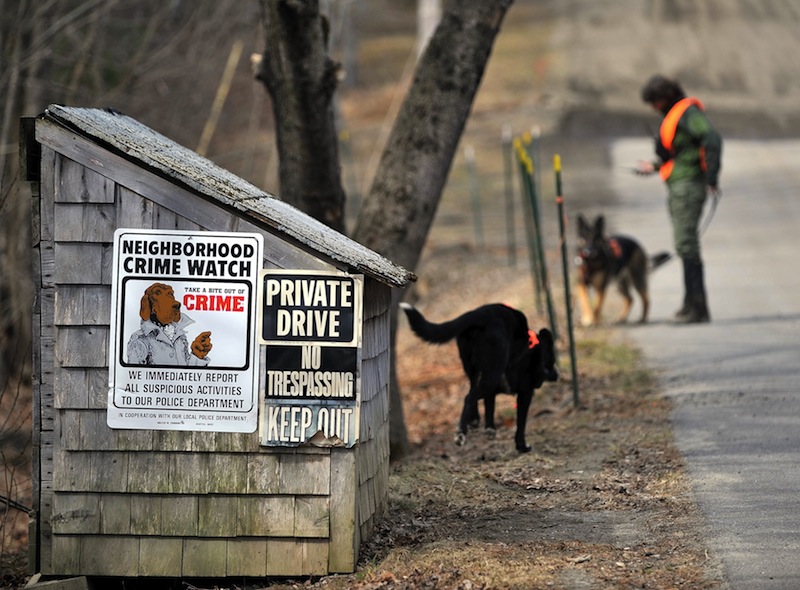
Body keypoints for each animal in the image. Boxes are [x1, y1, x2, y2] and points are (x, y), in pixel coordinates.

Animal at [398, 302, 556, 456]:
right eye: (552, 360)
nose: (557, 375)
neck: (534, 349)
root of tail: (482, 314)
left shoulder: (492, 390)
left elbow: (489, 406)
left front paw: (489, 428)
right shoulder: (526, 393)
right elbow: (520, 424)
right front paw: (522, 446)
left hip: (473, 370)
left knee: (471, 391)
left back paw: (472, 421)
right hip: (492, 374)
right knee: (470, 397)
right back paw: (461, 433)